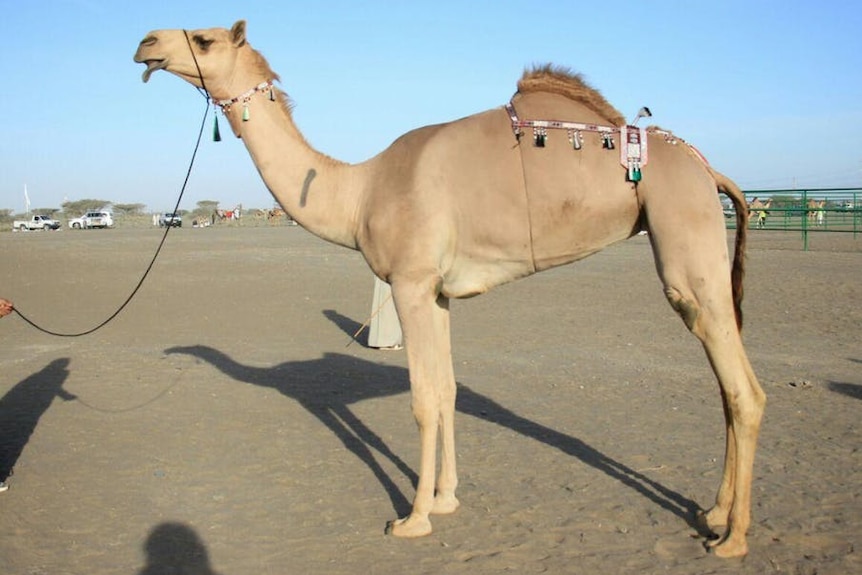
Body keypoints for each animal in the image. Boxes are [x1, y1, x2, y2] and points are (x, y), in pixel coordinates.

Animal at [137, 21, 768, 560]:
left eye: (204, 38)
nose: (146, 44)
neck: (359, 191)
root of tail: (710, 171)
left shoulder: (411, 283)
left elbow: (421, 401)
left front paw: (412, 519)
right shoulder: (436, 293)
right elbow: (446, 392)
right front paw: (445, 498)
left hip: (685, 240)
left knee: (743, 391)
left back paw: (733, 538)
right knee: (725, 387)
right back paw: (713, 512)